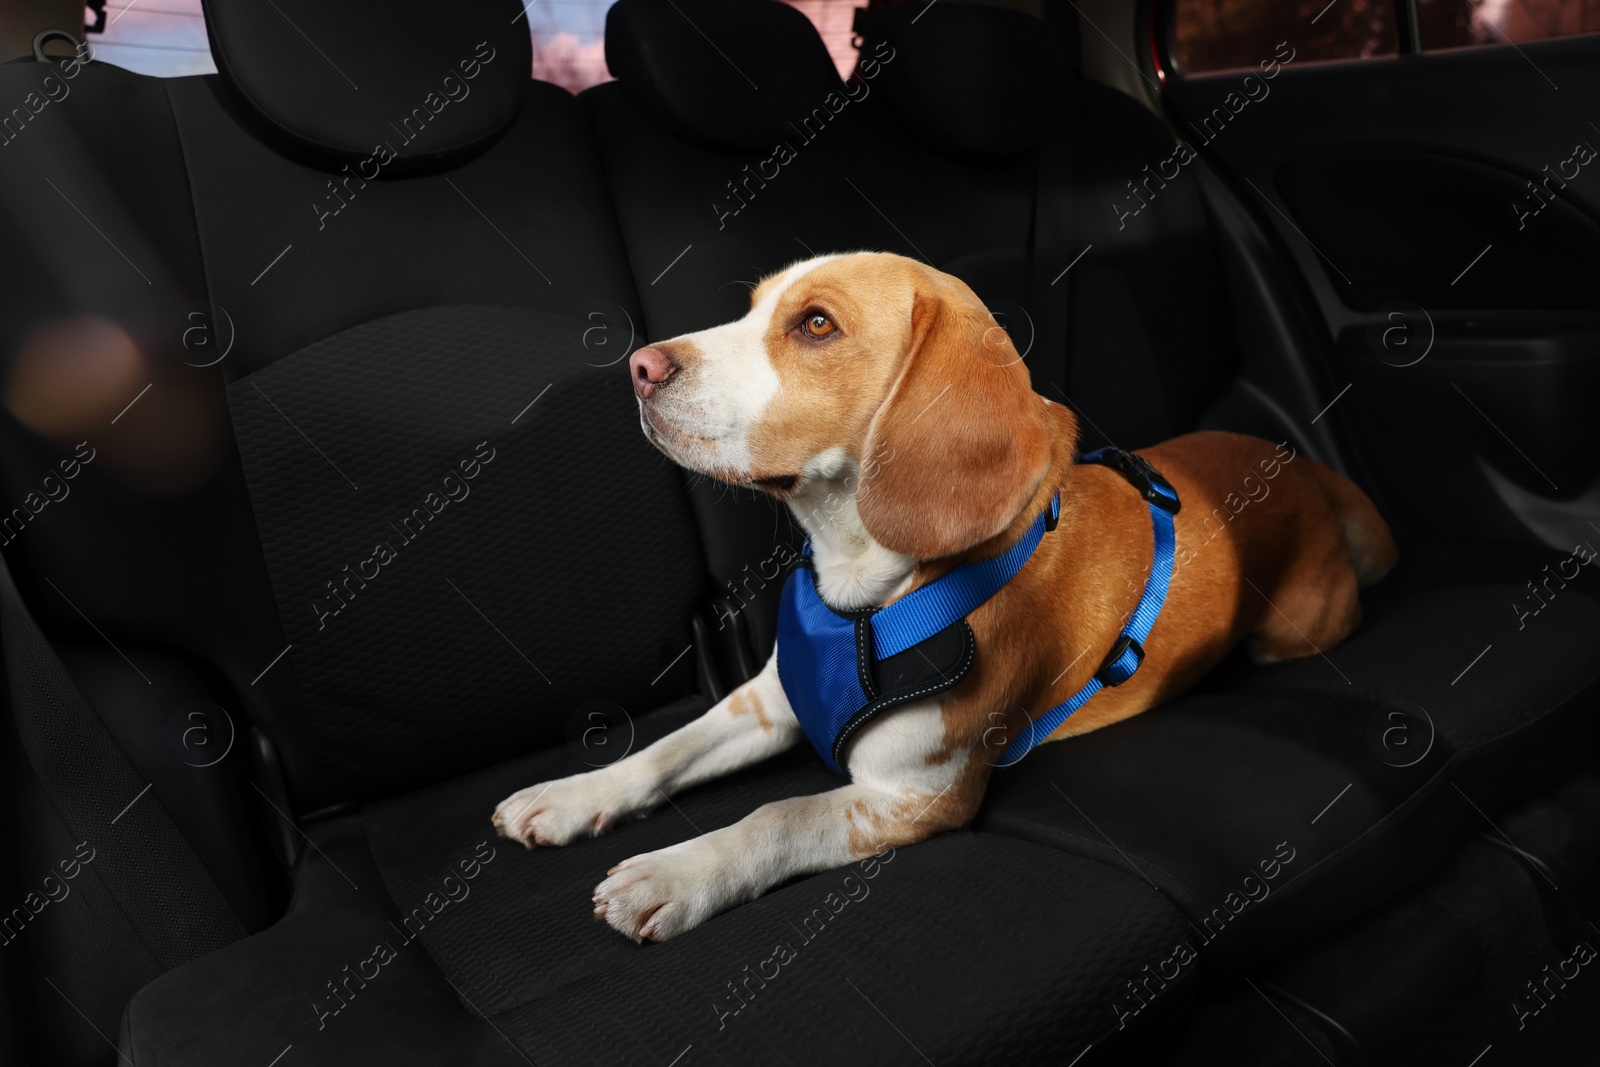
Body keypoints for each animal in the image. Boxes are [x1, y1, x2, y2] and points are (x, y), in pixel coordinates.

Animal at [492, 251, 1395, 940]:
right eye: (751, 310)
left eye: (815, 325)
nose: (639, 367)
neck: (865, 592)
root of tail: (1304, 466)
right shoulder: (769, 700)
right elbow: (664, 750)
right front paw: (573, 795)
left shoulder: (911, 799)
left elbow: (775, 815)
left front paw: (680, 872)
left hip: (1292, 632)